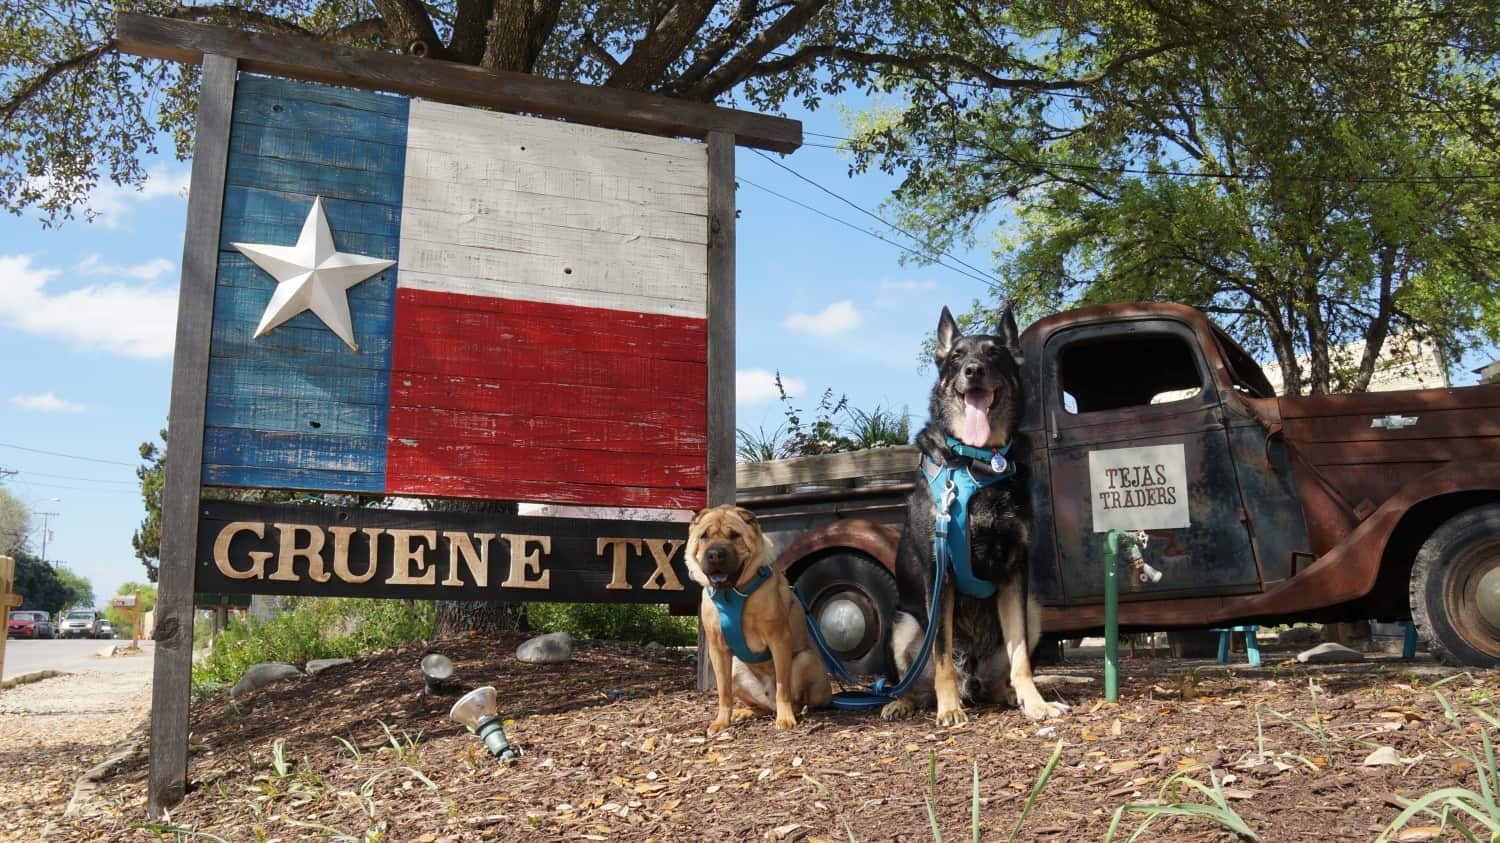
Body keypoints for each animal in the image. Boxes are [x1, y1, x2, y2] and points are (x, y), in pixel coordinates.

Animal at [687, 504, 834, 729]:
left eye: (735, 535)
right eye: (704, 536)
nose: (715, 554)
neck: (732, 593)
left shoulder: (778, 639)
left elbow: (783, 688)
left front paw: (785, 718)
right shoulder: (717, 648)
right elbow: (724, 692)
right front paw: (721, 722)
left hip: (805, 660)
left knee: (799, 700)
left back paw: (795, 711)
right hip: (736, 671)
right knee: (760, 707)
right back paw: (745, 712)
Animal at [876, 307, 1068, 723]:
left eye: (994, 353)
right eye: (957, 357)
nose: (974, 370)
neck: (977, 462)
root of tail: (973, 679)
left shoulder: (1015, 574)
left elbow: (1020, 656)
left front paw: (1036, 703)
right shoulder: (940, 577)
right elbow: (942, 656)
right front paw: (949, 709)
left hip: (1033, 609)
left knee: (1000, 674)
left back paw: (1009, 694)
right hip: (903, 623)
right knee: (913, 680)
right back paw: (904, 702)